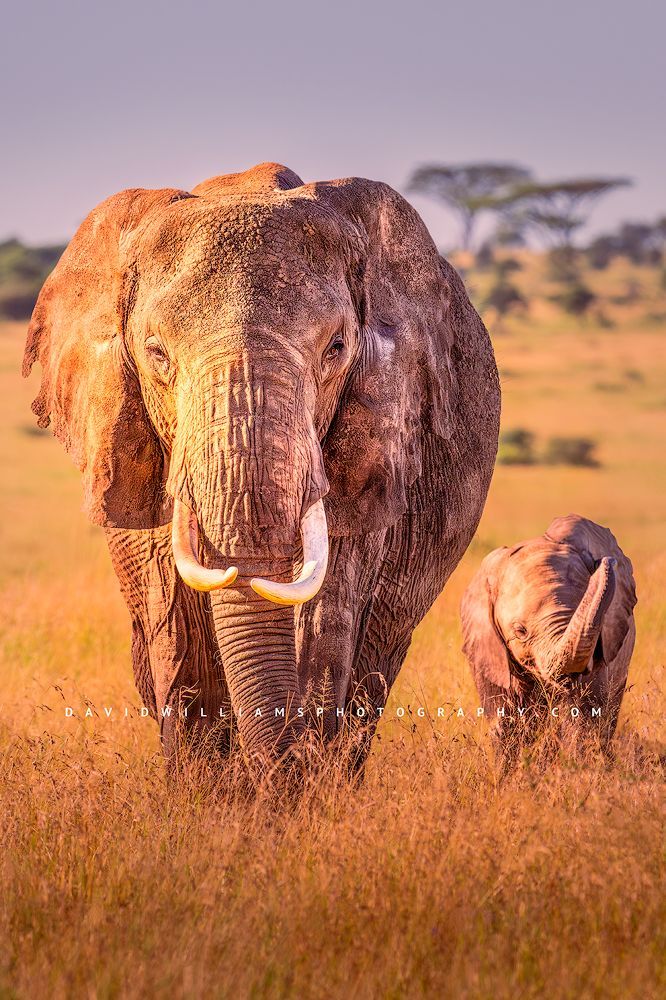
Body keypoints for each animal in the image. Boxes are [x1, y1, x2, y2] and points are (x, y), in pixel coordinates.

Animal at [23, 161, 500, 766]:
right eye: (156, 354)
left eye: (336, 348)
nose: (283, 759)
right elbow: (178, 627)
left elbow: (325, 614)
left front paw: (302, 778)